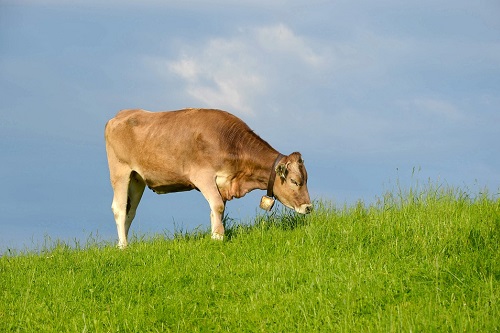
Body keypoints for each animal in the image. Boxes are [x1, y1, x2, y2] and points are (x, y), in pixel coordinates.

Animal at [103, 107, 310, 248]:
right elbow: (217, 206)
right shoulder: (203, 176)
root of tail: (121, 114)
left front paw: (214, 235)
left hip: (137, 179)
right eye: (295, 181)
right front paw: (219, 237)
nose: (308, 207)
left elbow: (216, 209)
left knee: (130, 211)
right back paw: (123, 246)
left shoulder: (222, 183)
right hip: (120, 171)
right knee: (119, 208)